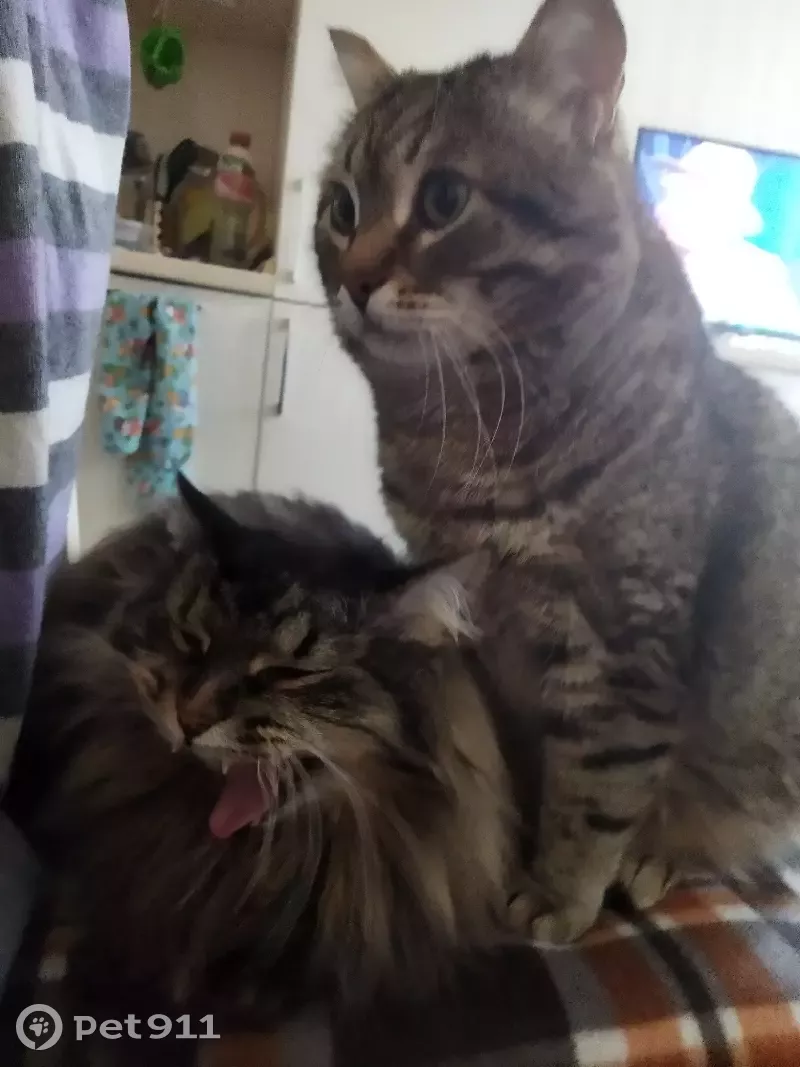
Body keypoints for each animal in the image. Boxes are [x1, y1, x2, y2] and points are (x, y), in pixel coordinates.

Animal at [317, 0, 800, 944]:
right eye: (340, 210)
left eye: (444, 199)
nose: (353, 279)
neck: (465, 438)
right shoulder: (467, 615)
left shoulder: (619, 641)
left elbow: (597, 785)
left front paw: (559, 889)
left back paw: (656, 857)